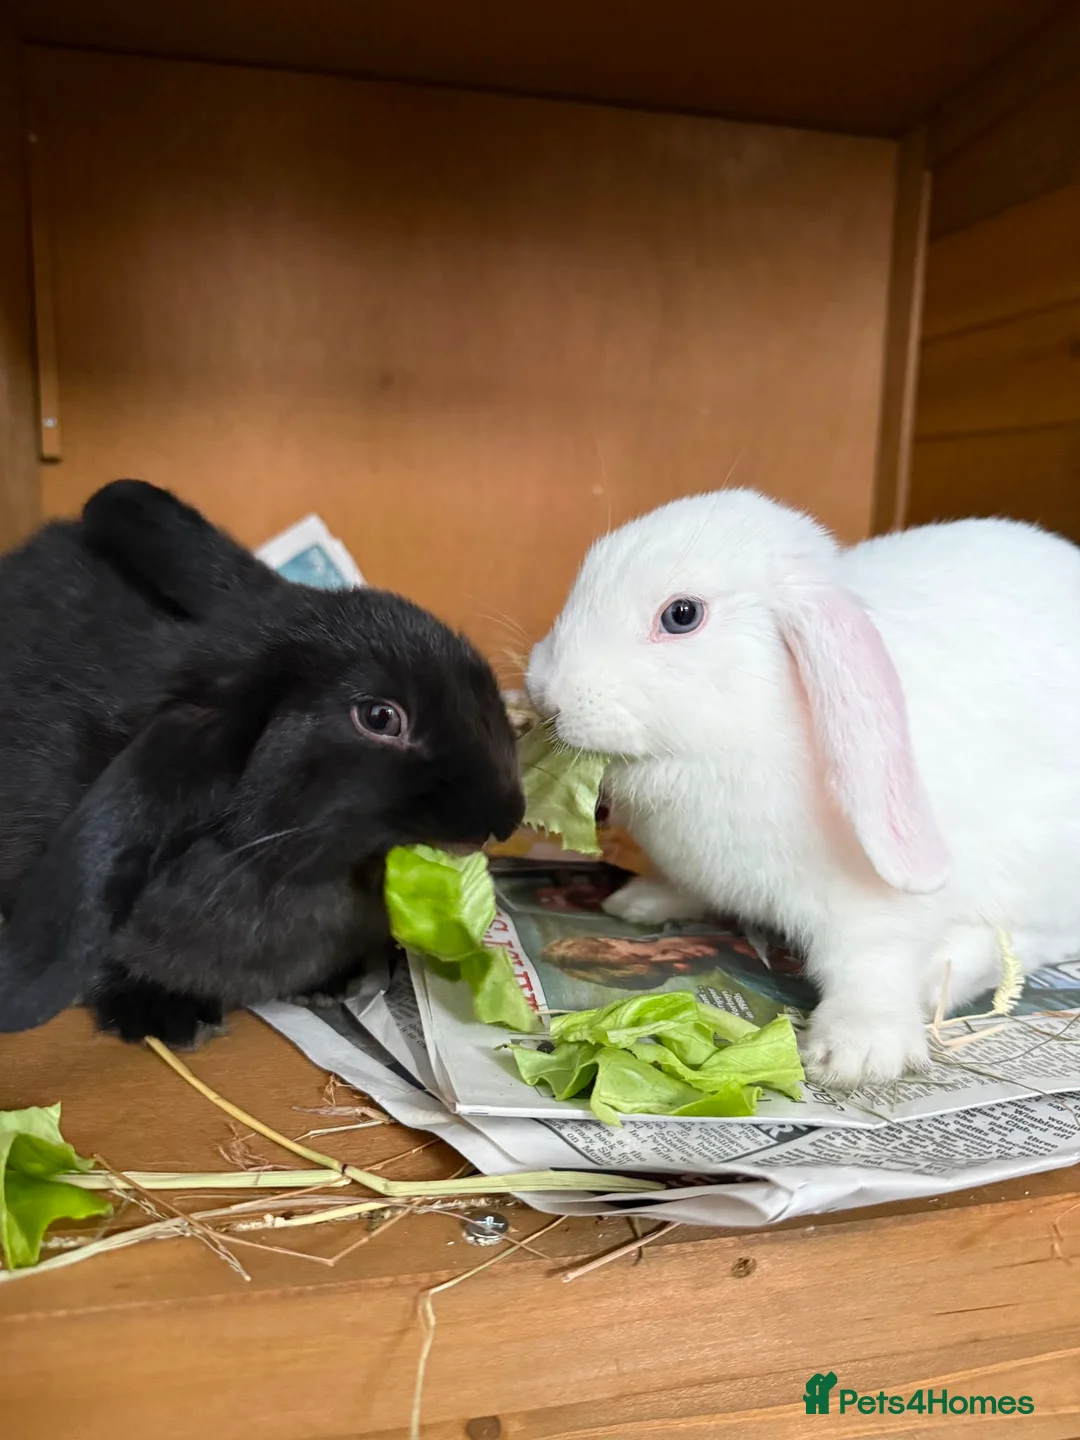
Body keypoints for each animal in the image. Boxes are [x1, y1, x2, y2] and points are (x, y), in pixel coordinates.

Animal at [526, 487, 1080, 1088]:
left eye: (681, 615)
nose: (545, 695)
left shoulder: (874, 912)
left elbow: (872, 964)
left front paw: (856, 1052)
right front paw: (642, 902)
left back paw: (942, 975)